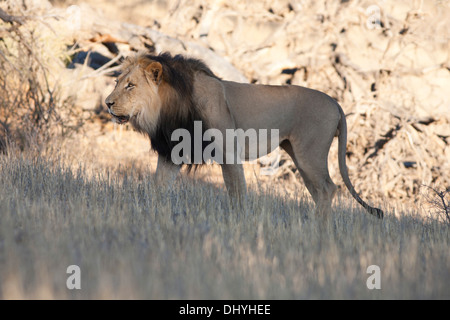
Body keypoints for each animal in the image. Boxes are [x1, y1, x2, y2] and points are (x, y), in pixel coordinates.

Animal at [105, 51, 384, 219]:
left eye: (130, 86)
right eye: (117, 83)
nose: (107, 103)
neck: (167, 108)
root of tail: (335, 103)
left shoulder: (229, 153)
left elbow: (237, 193)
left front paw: (237, 224)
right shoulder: (172, 153)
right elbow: (158, 187)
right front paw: (151, 213)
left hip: (310, 154)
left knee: (328, 188)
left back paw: (318, 230)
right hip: (300, 156)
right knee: (320, 192)